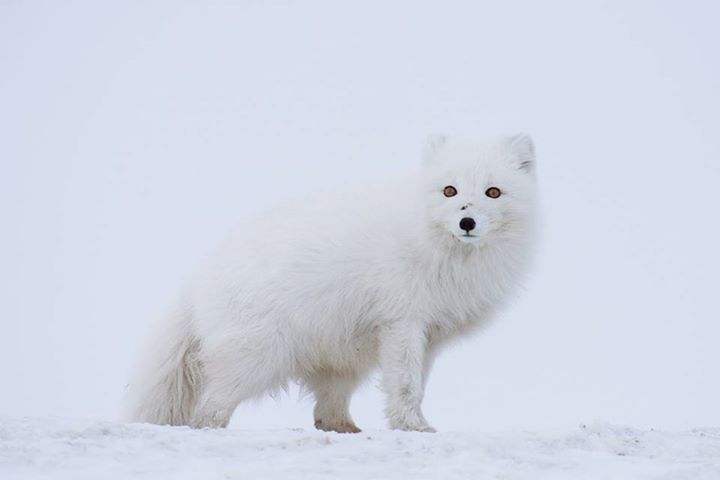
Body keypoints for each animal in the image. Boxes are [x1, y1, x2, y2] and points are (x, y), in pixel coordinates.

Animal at [122, 133, 538, 433]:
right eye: (450, 190)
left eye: (493, 192)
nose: (467, 222)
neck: (440, 249)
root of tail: (198, 278)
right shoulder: (402, 322)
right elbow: (406, 384)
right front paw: (413, 427)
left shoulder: (428, 334)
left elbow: (415, 383)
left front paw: (410, 422)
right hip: (258, 356)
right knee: (209, 407)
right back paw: (211, 427)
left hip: (340, 358)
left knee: (325, 412)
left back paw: (345, 428)